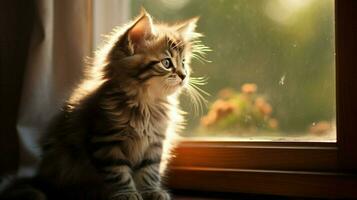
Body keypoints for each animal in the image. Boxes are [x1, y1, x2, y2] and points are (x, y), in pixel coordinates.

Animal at [0, 9, 207, 200]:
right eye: (167, 63)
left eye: (183, 63)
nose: (184, 75)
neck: (146, 105)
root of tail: (42, 178)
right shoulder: (106, 142)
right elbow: (119, 173)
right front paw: (127, 194)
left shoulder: (155, 144)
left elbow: (149, 171)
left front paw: (152, 191)